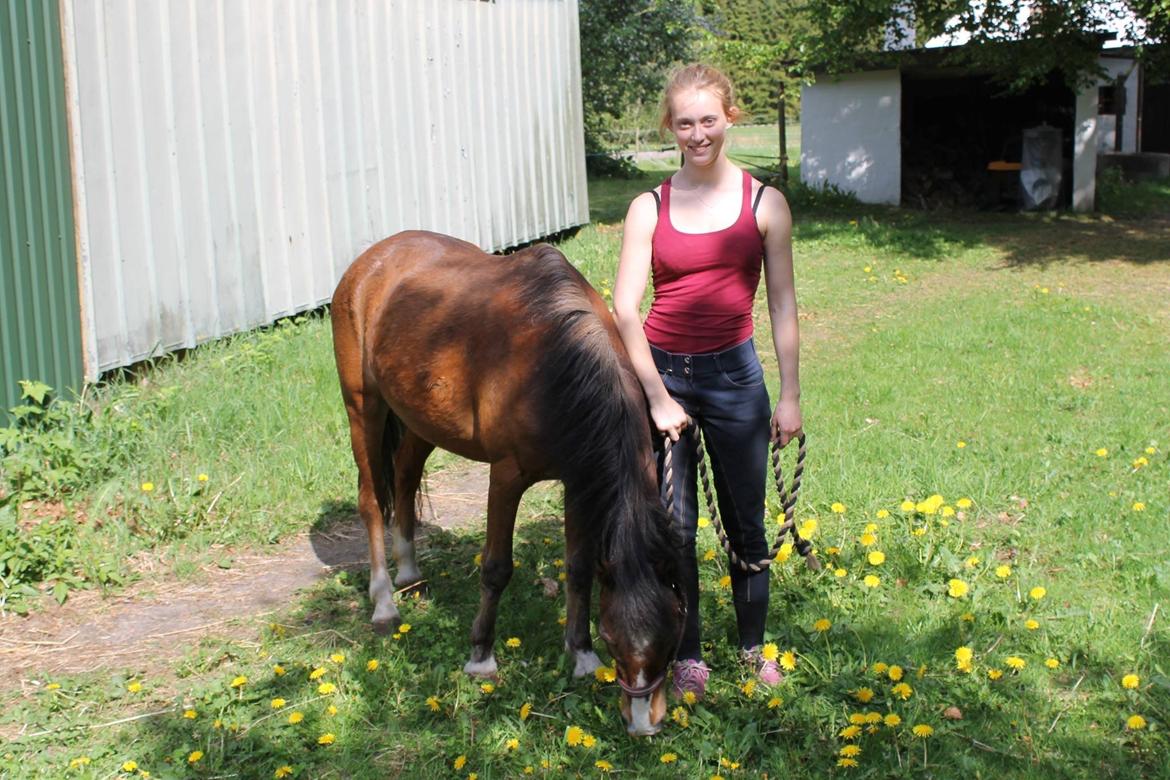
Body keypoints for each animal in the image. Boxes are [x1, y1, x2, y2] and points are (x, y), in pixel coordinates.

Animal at [332, 229, 683, 734]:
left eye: (673, 637)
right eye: (614, 637)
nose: (643, 724)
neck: (550, 361)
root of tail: (371, 261)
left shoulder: (577, 482)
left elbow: (578, 567)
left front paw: (580, 656)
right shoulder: (506, 477)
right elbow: (496, 568)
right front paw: (481, 657)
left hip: (420, 420)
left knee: (404, 477)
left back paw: (409, 573)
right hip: (364, 406)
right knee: (371, 501)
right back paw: (383, 602)